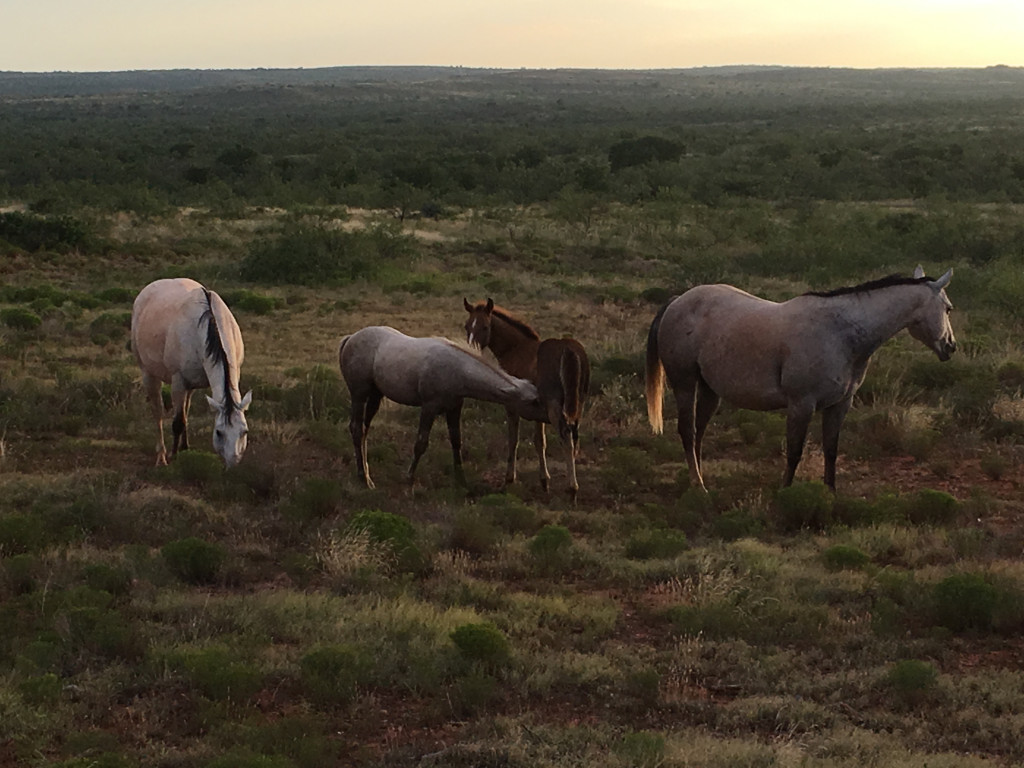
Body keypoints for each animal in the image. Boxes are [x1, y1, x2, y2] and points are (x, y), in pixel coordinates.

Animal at [130, 278, 253, 467]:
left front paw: (184, 449)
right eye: (219, 432)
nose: (232, 463)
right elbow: (177, 422)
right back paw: (161, 456)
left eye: (244, 432)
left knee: (185, 408)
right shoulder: (178, 381)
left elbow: (185, 415)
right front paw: (173, 456)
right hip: (148, 373)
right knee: (157, 412)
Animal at [338, 325, 547, 488]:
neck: (457, 369)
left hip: (375, 395)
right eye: (534, 401)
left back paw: (366, 473)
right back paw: (364, 478)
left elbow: (456, 441)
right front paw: (409, 478)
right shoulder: (429, 408)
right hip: (359, 395)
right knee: (356, 429)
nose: (551, 418)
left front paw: (461, 480)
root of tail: (350, 338)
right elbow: (420, 444)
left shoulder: (454, 408)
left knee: (364, 430)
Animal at [463, 298, 591, 501]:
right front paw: (544, 481)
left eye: (485, 327)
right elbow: (540, 442)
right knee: (574, 438)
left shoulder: (512, 406)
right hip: (577, 406)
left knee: (567, 438)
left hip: (557, 409)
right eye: (467, 326)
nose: (470, 350)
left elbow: (513, 440)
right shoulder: (539, 412)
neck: (515, 348)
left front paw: (509, 478)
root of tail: (568, 350)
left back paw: (572, 489)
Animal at [645, 267, 956, 491]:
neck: (840, 333)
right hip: (684, 384)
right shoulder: (801, 405)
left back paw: (698, 477)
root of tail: (676, 301)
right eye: (948, 308)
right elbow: (794, 451)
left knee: (698, 432)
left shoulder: (839, 405)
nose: (951, 346)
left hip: (710, 390)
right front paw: (785, 493)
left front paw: (830, 493)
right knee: (687, 431)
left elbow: (831, 450)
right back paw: (698, 486)